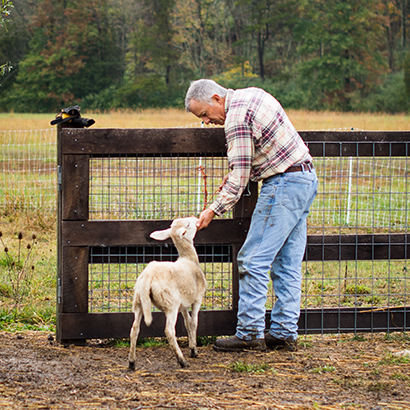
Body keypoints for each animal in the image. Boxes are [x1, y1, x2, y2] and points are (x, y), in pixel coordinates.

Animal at [128, 217, 207, 369]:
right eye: (188, 224)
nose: (196, 218)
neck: (189, 258)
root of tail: (148, 276)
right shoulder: (197, 299)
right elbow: (194, 322)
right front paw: (194, 350)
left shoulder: (183, 305)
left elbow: (187, 323)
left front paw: (191, 346)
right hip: (171, 303)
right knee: (169, 330)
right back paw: (182, 360)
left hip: (139, 301)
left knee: (134, 330)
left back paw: (131, 362)